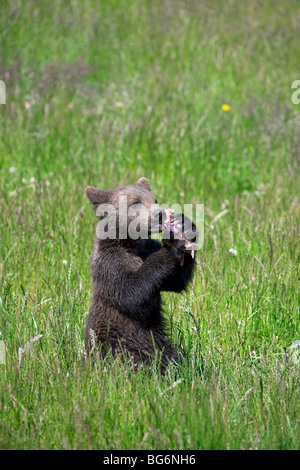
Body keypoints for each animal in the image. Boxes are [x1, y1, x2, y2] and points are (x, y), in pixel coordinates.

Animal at [84, 176, 197, 370]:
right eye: (135, 203)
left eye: (155, 199)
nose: (160, 213)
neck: (130, 244)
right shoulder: (112, 265)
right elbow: (132, 292)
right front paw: (172, 243)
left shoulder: (149, 249)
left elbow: (176, 281)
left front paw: (185, 224)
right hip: (117, 342)